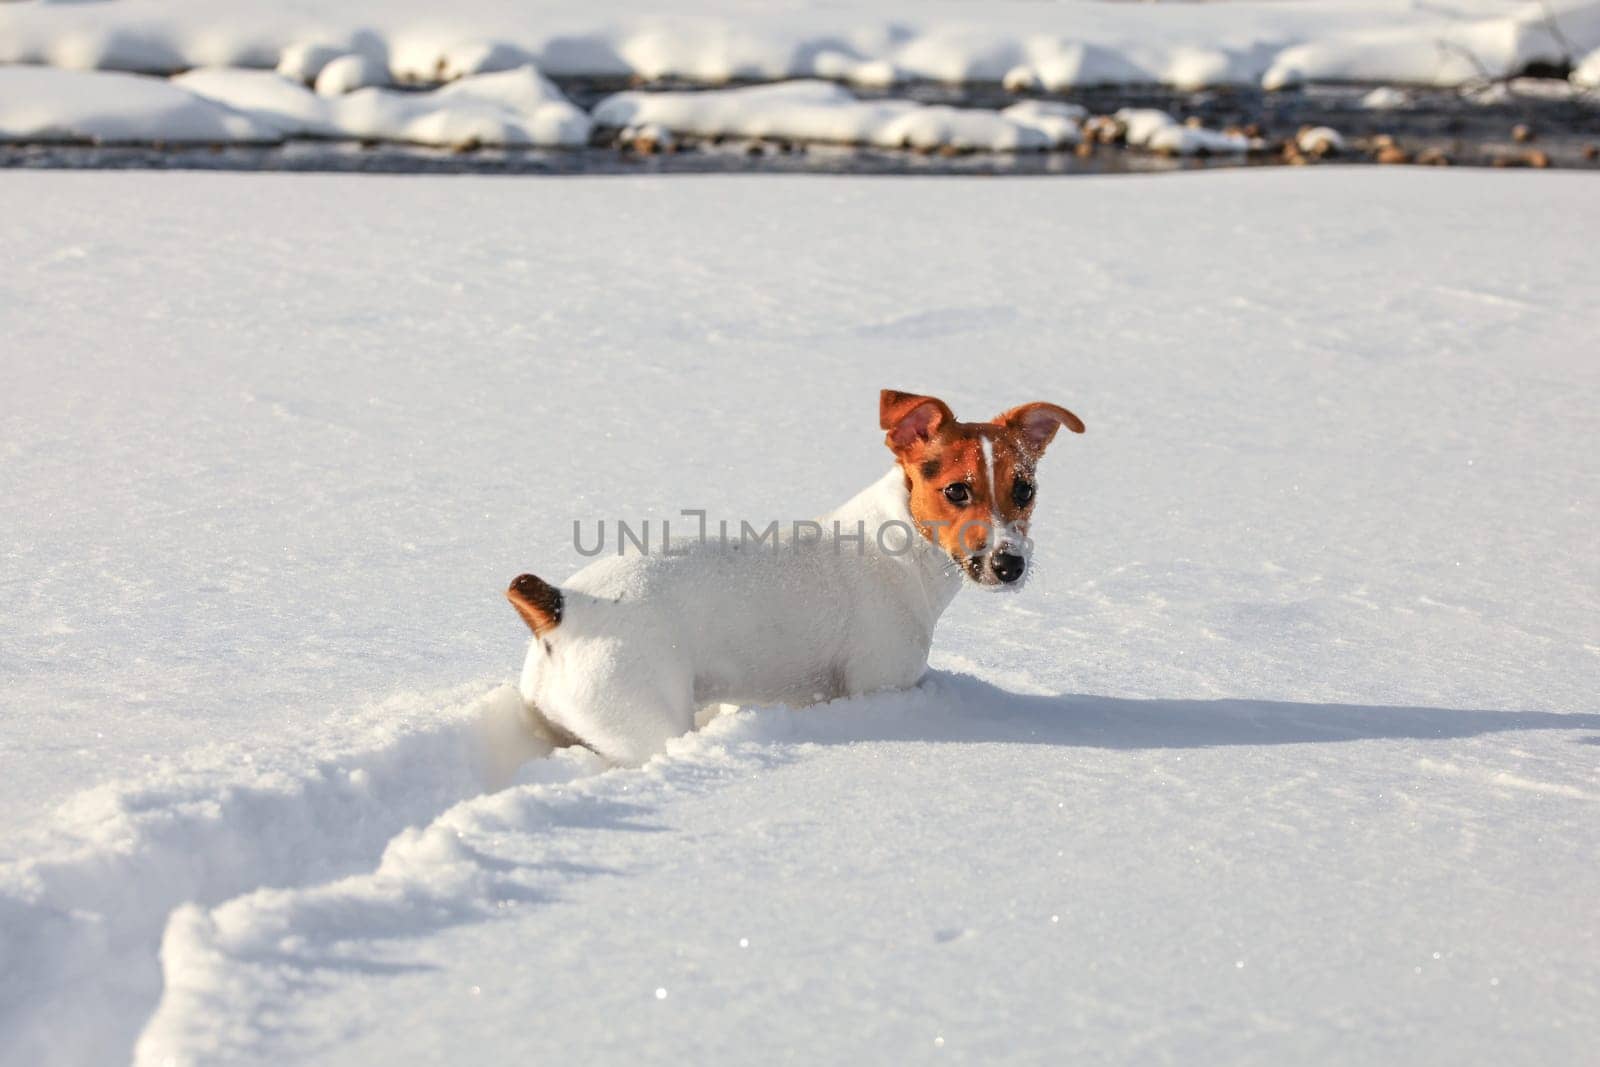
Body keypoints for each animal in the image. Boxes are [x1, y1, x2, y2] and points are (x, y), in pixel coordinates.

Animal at [508, 388, 1088, 764]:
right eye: (956, 491)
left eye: (1025, 489)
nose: (1009, 565)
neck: (901, 542)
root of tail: (562, 606)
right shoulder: (879, 682)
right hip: (644, 721)